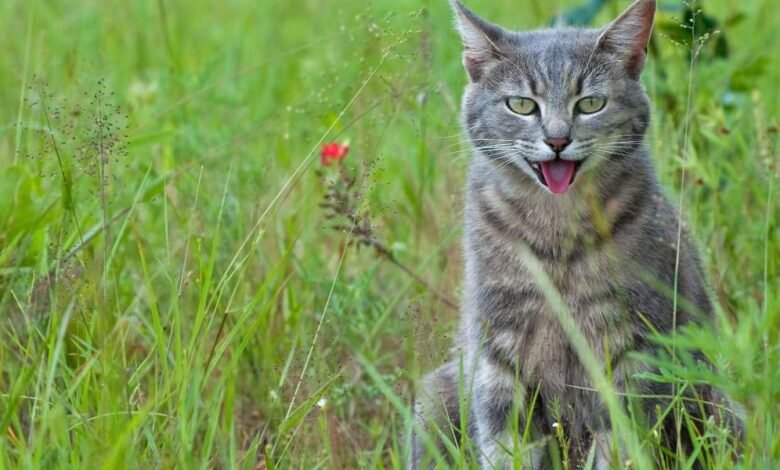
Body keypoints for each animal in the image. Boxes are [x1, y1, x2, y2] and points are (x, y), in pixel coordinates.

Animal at [412, 0, 740, 468]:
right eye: (521, 105)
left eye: (590, 103)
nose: (557, 140)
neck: (556, 232)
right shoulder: (500, 355)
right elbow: (506, 446)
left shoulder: (630, 352)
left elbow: (621, 446)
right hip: (435, 397)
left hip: (718, 407)